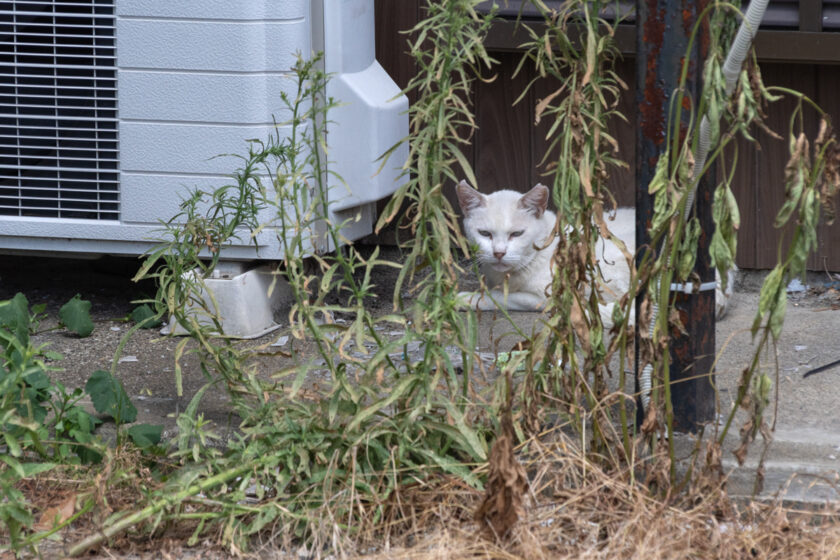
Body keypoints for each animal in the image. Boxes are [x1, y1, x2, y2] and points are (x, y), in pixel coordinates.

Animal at [452, 182, 736, 326]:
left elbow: (499, 297)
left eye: (516, 234)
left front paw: (462, 299)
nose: (499, 253)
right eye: (485, 234)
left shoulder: (549, 296)